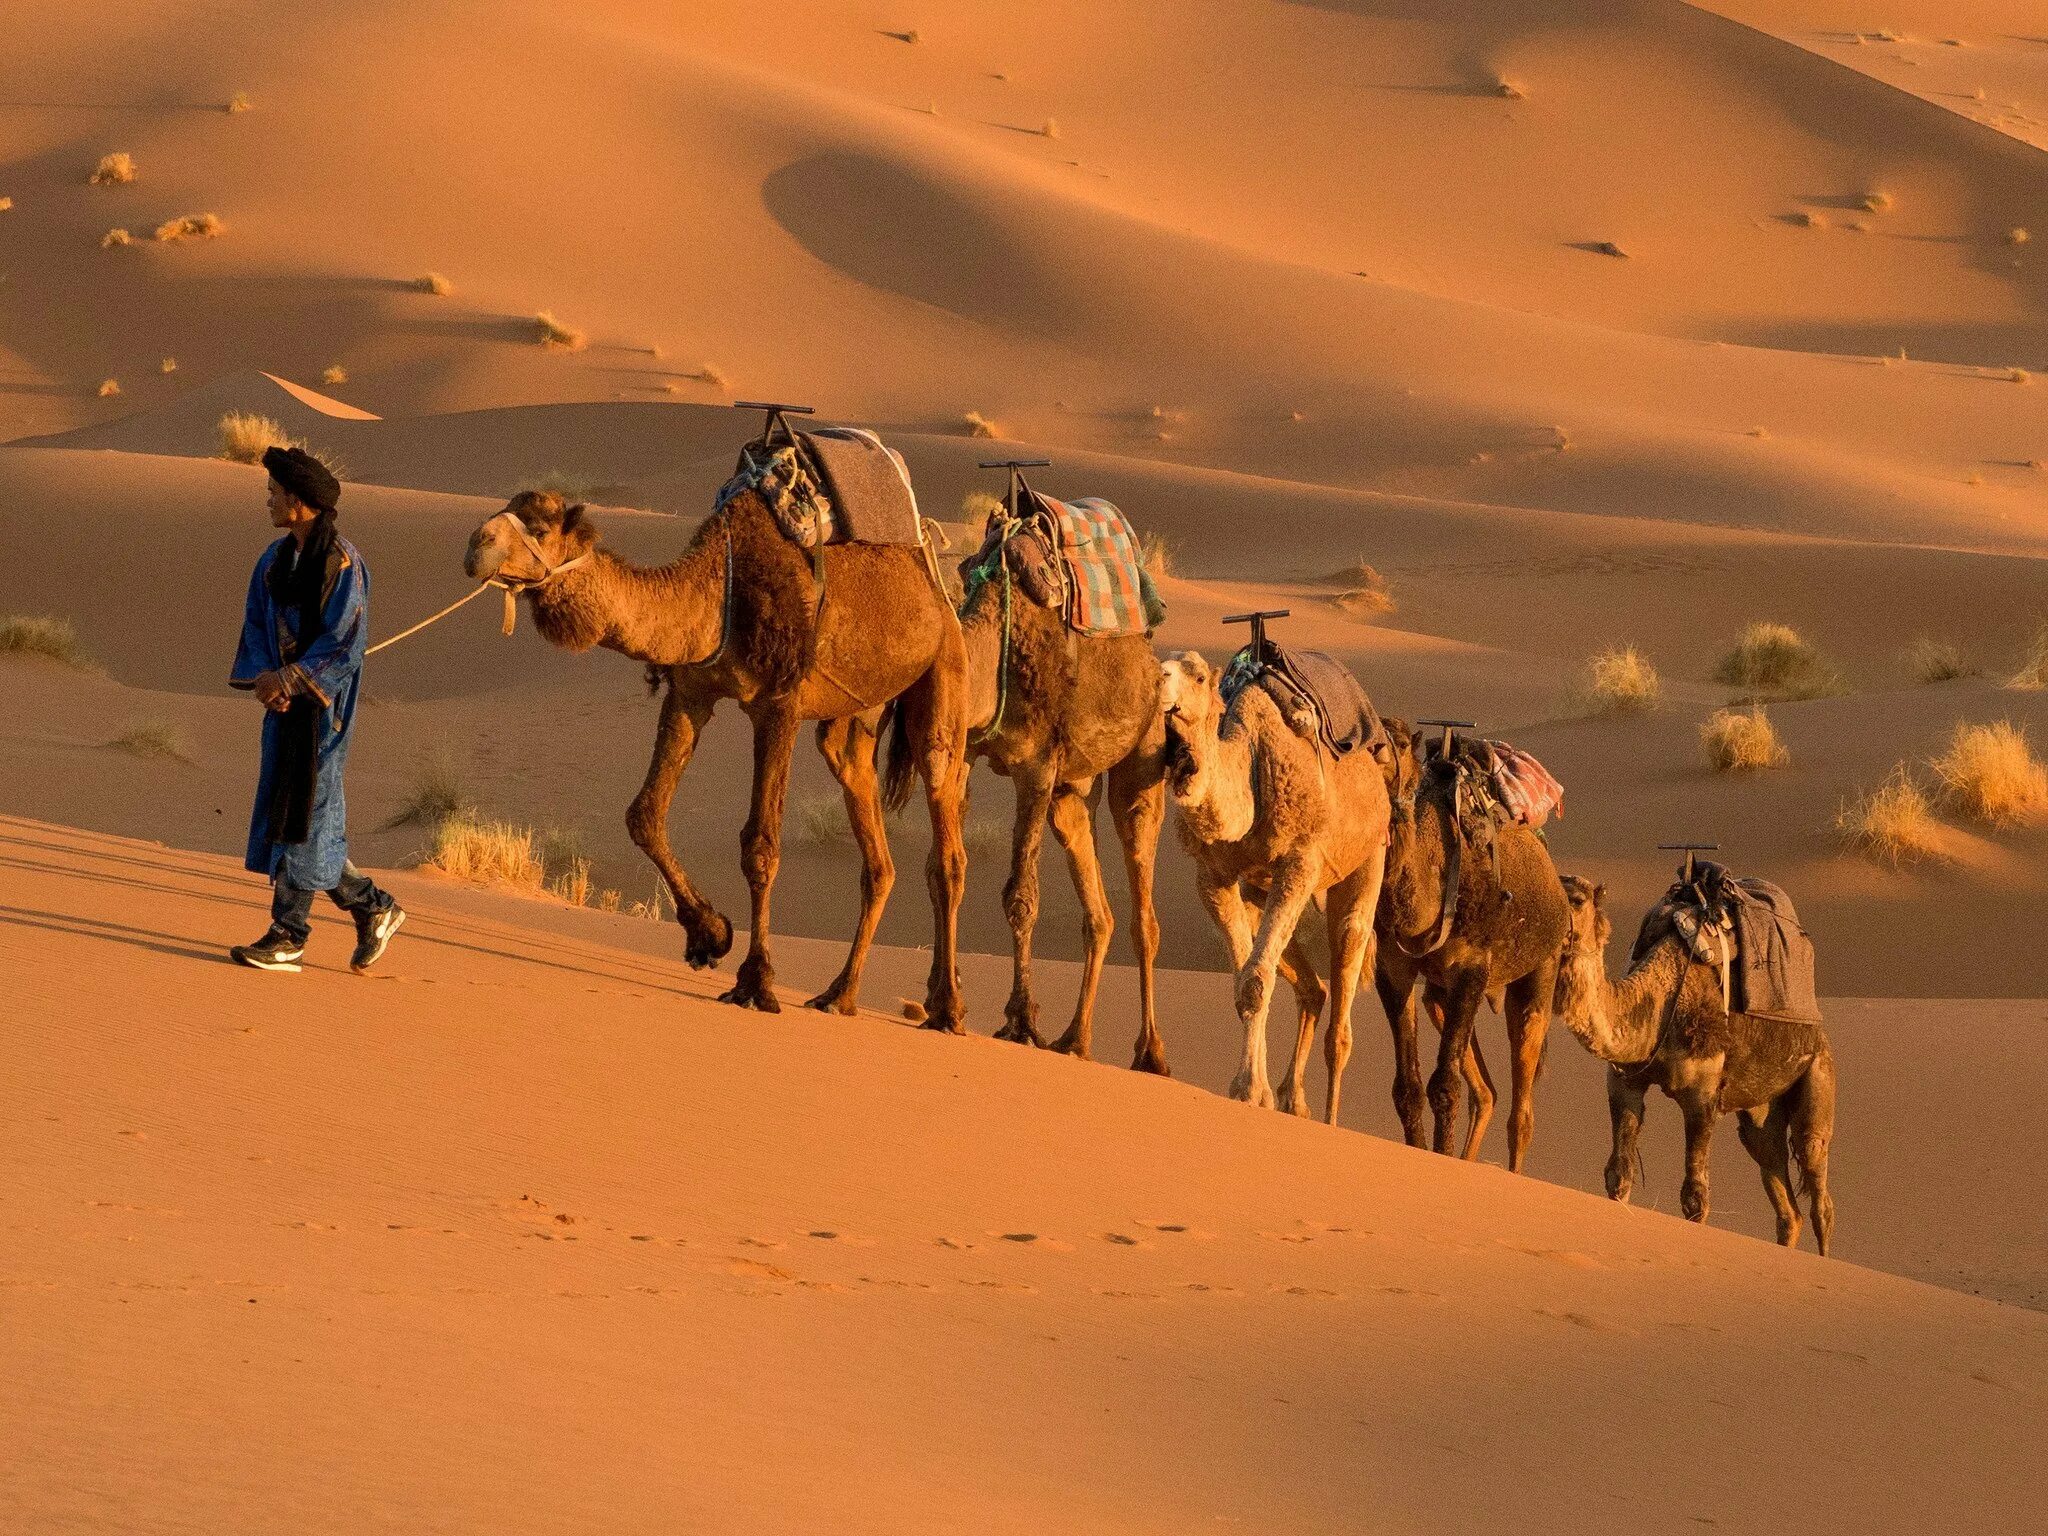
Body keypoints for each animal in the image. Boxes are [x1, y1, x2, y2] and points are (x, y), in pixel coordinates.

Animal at [466, 493, 974, 1036]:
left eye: (539, 528)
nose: (476, 543)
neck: (716, 592)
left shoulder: (779, 704)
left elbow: (760, 845)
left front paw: (756, 982)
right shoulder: (690, 691)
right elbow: (644, 815)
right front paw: (709, 935)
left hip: (946, 666)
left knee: (943, 824)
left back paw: (947, 1008)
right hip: (858, 711)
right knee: (871, 835)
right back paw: (840, 995)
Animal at [913, 514, 1171, 1073]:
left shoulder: (1035, 766)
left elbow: (1021, 896)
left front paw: (1020, 1019)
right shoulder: (967, 752)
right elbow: (944, 870)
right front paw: (941, 999)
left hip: (1143, 754)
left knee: (1143, 910)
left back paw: (1151, 1052)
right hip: (1071, 793)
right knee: (1099, 913)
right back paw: (1075, 1039)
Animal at [1155, 643, 1392, 1122]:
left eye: (1199, 677)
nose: (1159, 677)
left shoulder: (1299, 860)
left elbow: (1255, 981)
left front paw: (1248, 1090)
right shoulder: (1214, 877)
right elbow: (1245, 982)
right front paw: (1255, 1091)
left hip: (1370, 853)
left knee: (1346, 970)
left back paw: (1331, 1120)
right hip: (1259, 892)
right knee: (1311, 989)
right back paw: (1293, 1099)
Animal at [1376, 720, 1564, 1163]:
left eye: (1401, 745)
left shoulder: (1471, 968)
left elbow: (1445, 1087)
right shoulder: (1393, 967)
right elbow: (1408, 1089)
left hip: (1541, 973)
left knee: (1521, 1113)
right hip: (1439, 997)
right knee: (1488, 1092)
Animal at [1548, 872, 1843, 1253]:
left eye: (1578, 900)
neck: (1659, 1003)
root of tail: (1819, 1032)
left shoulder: (1702, 1096)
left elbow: (1694, 1198)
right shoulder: (1625, 1082)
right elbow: (1618, 1174)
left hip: (1819, 1074)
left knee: (1819, 1187)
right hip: (1761, 1112)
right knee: (1782, 1193)